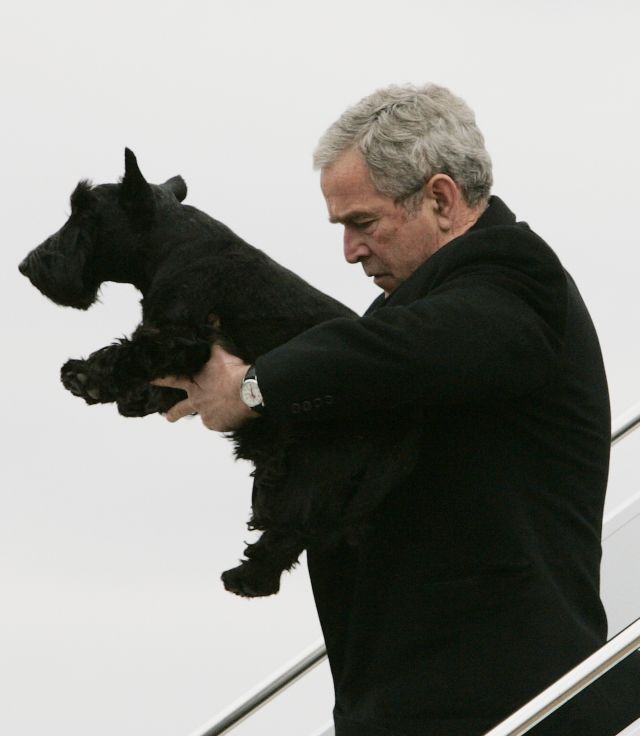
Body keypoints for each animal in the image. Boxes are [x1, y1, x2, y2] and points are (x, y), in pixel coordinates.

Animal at [18, 150, 420, 600]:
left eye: (84, 213)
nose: (27, 265)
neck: (173, 245)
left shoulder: (184, 338)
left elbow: (130, 350)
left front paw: (86, 375)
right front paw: (138, 397)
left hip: (315, 468)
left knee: (291, 531)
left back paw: (248, 578)